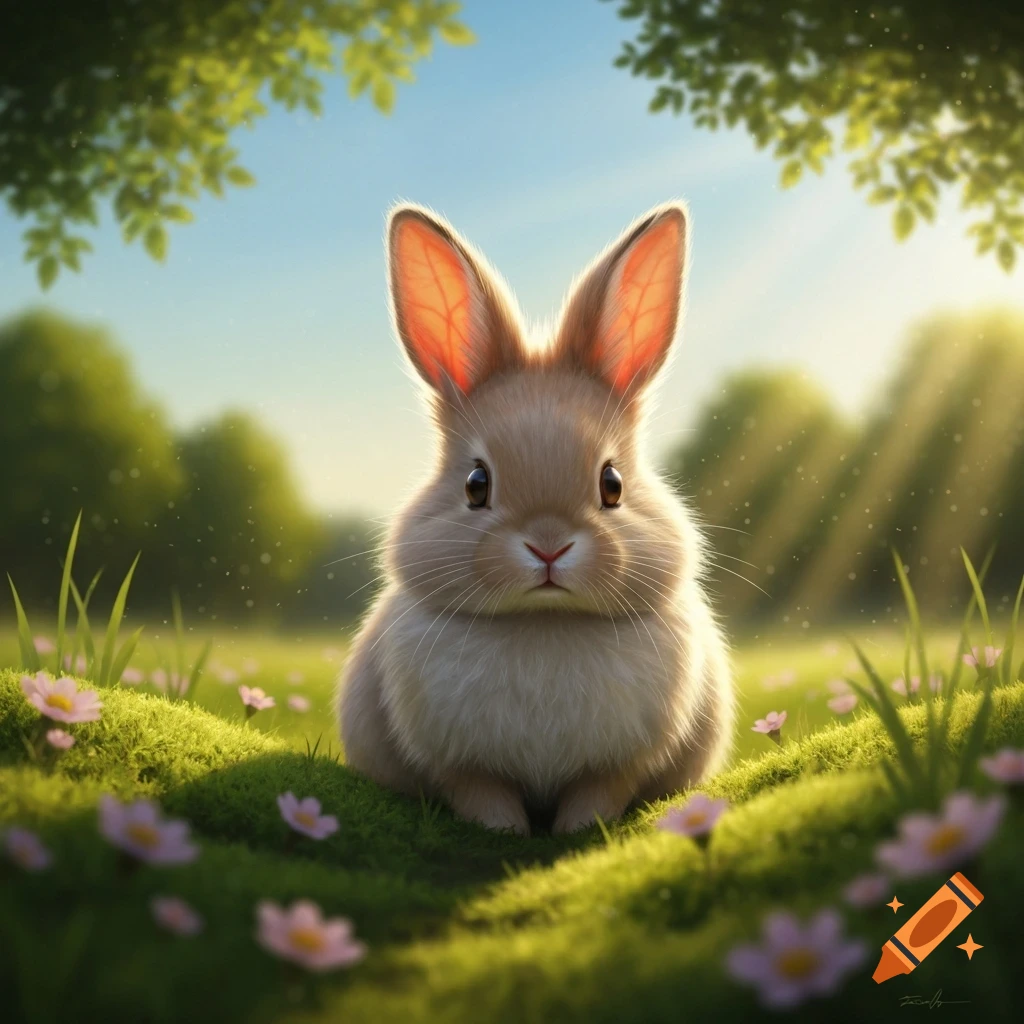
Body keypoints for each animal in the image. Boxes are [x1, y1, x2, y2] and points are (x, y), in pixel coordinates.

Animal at [338, 200, 734, 835]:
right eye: (476, 485)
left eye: (612, 484)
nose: (549, 547)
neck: (544, 622)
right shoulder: (465, 768)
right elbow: (484, 795)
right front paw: (505, 834)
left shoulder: (614, 767)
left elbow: (596, 794)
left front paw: (577, 834)